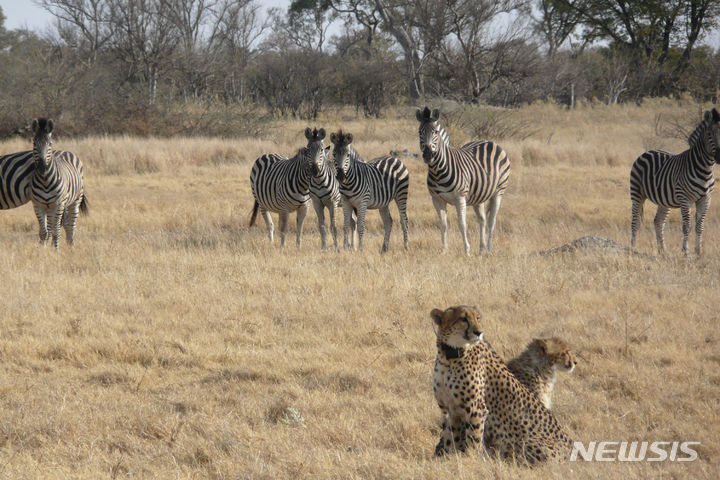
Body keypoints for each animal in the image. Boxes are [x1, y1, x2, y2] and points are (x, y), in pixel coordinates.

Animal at [30, 118, 88, 249]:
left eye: (50, 144)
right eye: (34, 144)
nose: (42, 167)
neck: (45, 181)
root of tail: (64, 151)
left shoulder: (58, 204)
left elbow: (56, 231)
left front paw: (55, 250)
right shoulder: (38, 205)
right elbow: (44, 232)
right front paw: (43, 249)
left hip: (74, 200)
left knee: (70, 225)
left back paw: (71, 246)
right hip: (53, 206)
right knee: (57, 225)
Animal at [416, 106, 512, 255]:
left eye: (435, 132)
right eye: (420, 132)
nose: (428, 155)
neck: (437, 171)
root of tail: (489, 141)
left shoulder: (460, 198)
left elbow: (462, 224)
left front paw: (467, 251)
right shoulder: (436, 199)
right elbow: (443, 224)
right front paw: (444, 250)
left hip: (499, 191)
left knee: (492, 221)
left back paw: (489, 250)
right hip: (479, 196)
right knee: (482, 220)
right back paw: (482, 249)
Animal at [430, 304, 572, 464]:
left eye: (477, 318)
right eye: (463, 319)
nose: (479, 332)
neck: (449, 357)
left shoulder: (476, 409)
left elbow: (474, 441)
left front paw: (473, 460)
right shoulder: (449, 410)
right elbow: (449, 438)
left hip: (525, 442)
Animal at [628, 108, 716, 255]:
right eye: (710, 134)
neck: (704, 169)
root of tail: (647, 152)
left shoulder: (706, 199)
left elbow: (700, 226)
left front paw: (699, 252)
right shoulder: (686, 199)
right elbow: (687, 226)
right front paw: (685, 252)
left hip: (664, 200)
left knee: (658, 221)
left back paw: (663, 250)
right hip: (637, 194)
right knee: (635, 221)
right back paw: (633, 248)